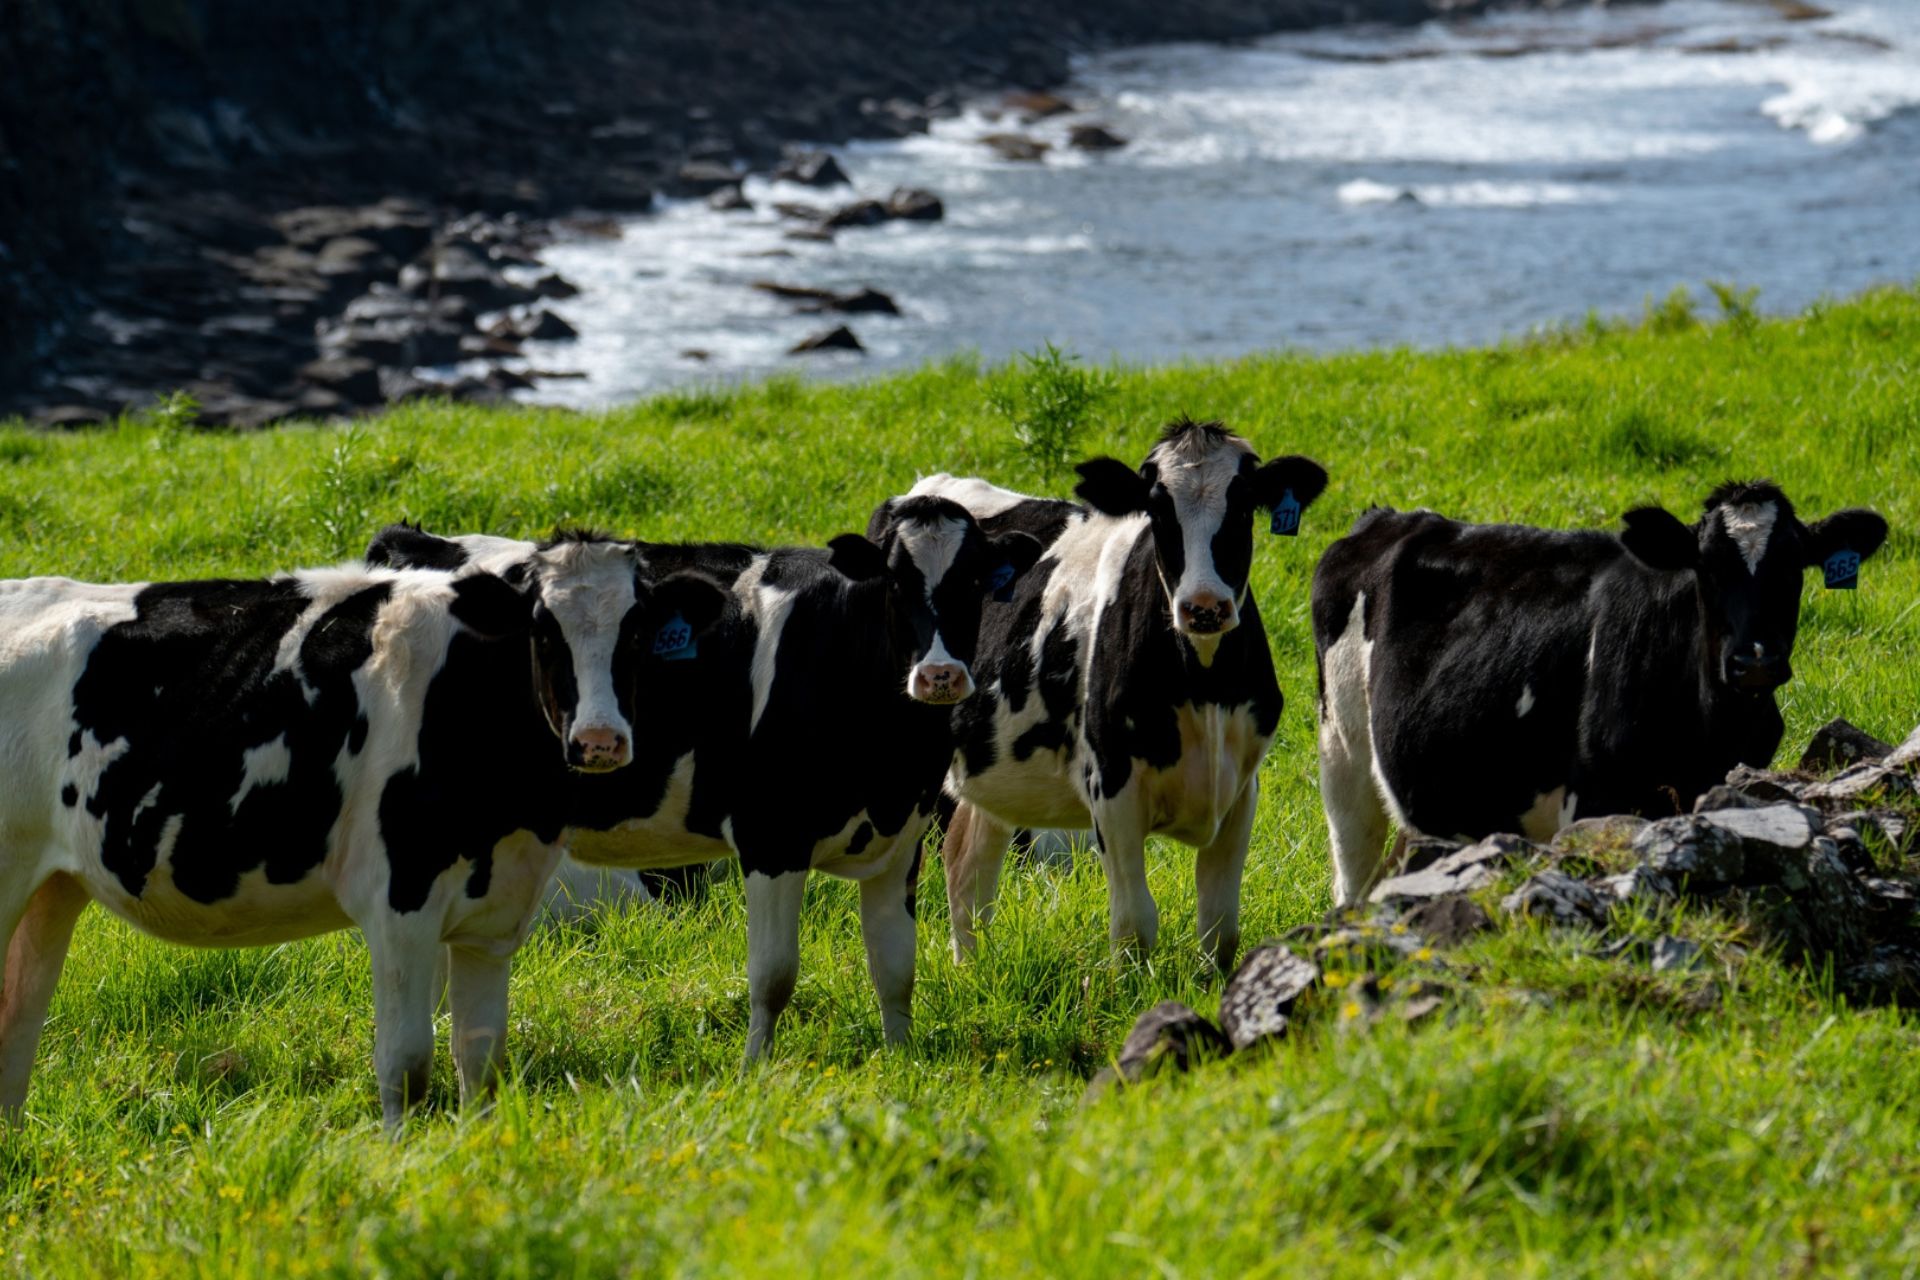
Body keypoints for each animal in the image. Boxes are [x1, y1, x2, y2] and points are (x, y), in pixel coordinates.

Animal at [0, 538, 726, 1125]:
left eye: (637, 635)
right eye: (543, 633)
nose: (600, 739)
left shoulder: (493, 914)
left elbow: (481, 1059)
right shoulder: (400, 900)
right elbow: (406, 1062)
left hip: (52, 888)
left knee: (18, 1020)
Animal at [366, 496, 1042, 1060]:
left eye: (973, 582)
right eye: (895, 582)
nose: (939, 675)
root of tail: (417, 542)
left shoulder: (900, 838)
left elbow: (896, 968)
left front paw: (902, 1063)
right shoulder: (772, 834)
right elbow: (774, 975)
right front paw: (755, 1070)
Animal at [916, 418, 1330, 970]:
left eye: (1243, 507)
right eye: (1158, 510)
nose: (1203, 606)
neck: (1204, 689)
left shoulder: (1242, 786)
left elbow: (1220, 926)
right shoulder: (1110, 785)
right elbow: (1135, 925)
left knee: (967, 864)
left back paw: (973, 971)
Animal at [1310, 481, 1890, 906]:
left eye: (1794, 567)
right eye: (1706, 568)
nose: (1755, 661)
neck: (1707, 731)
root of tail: (1384, 517)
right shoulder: (1593, 800)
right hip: (1342, 753)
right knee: (1352, 881)